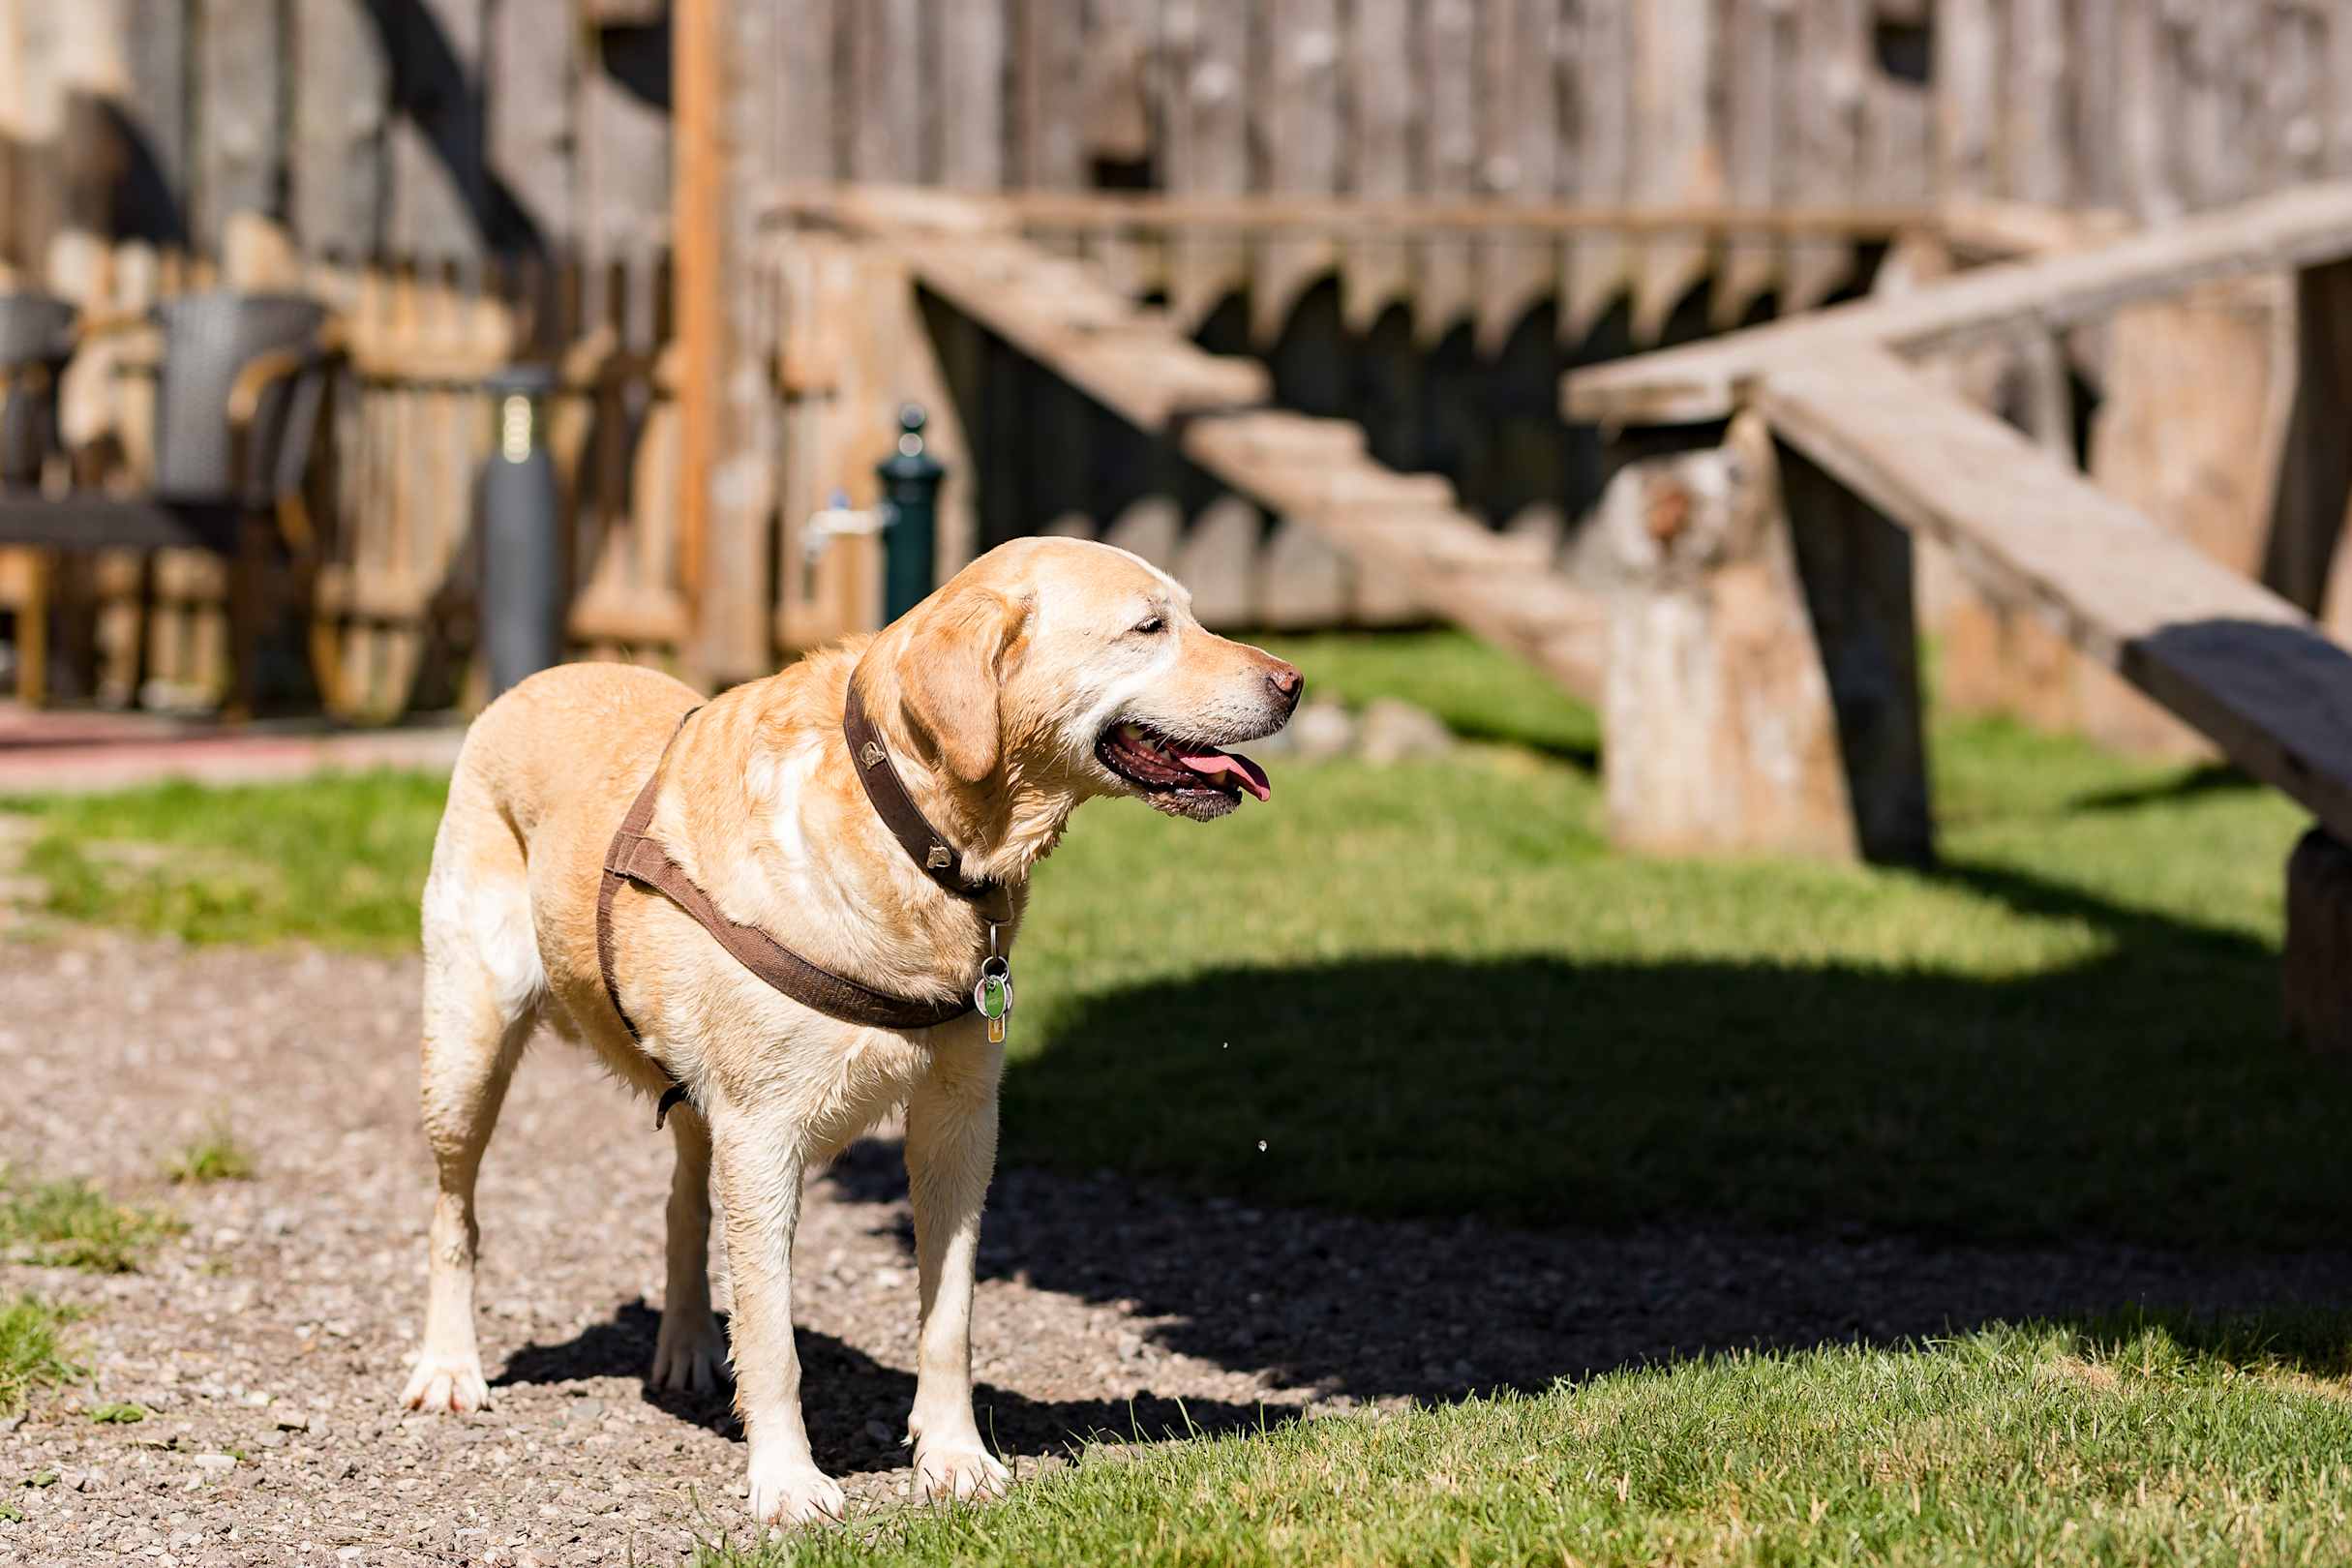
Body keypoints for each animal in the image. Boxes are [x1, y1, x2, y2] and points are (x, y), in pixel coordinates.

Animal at [400, 537, 1302, 1526]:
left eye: (1192, 614)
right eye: (1149, 627)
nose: (1294, 682)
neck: (910, 829)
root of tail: (532, 680)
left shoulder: (959, 1124)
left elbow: (949, 1319)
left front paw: (953, 1457)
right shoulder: (762, 1140)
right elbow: (773, 1337)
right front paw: (789, 1482)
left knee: (681, 1204)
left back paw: (685, 1345)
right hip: (468, 1049)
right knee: (453, 1213)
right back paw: (450, 1367)